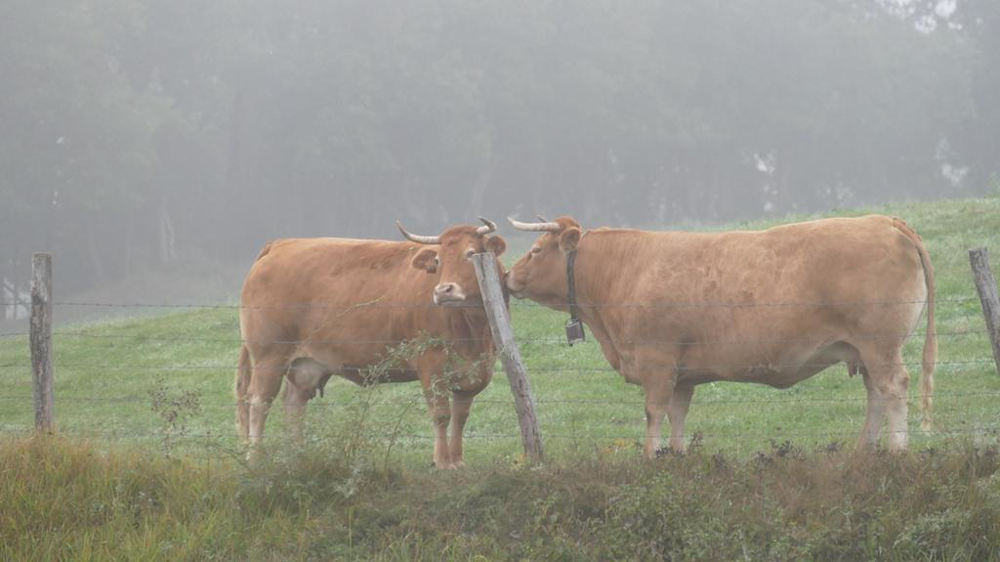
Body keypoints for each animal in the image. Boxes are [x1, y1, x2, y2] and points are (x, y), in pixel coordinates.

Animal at [235, 218, 507, 468]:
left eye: (470, 253)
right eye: (438, 260)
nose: (443, 291)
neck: (472, 328)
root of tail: (281, 244)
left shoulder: (474, 371)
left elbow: (460, 416)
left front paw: (458, 462)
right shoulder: (431, 365)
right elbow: (441, 414)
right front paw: (442, 462)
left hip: (305, 364)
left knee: (293, 403)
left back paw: (297, 457)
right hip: (269, 356)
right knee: (259, 401)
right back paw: (255, 458)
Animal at [506, 215, 935, 457]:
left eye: (536, 249)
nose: (508, 276)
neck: (623, 271)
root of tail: (883, 220)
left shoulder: (657, 361)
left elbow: (654, 411)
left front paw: (650, 457)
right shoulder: (682, 372)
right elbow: (677, 413)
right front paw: (677, 456)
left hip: (880, 345)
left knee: (894, 388)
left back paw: (898, 450)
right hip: (863, 350)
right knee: (876, 393)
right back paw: (866, 450)